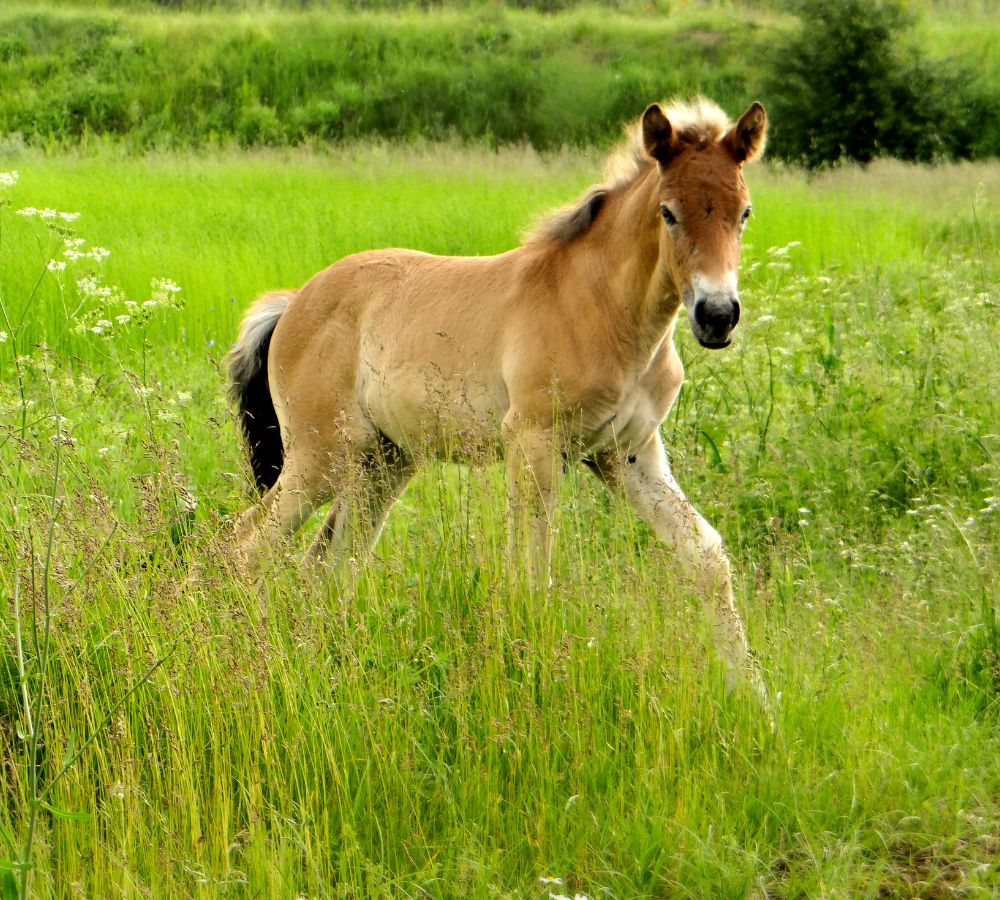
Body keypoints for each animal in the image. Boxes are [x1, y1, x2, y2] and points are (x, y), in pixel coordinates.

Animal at [228, 97, 770, 707]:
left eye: (744, 213)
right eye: (668, 213)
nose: (717, 315)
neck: (603, 309)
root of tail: (294, 302)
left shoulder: (629, 454)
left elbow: (707, 557)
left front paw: (757, 699)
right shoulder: (533, 443)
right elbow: (533, 577)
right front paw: (535, 687)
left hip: (382, 465)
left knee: (325, 567)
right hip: (320, 459)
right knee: (246, 546)